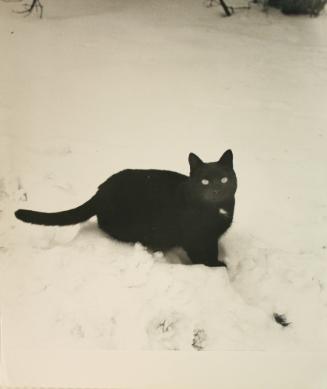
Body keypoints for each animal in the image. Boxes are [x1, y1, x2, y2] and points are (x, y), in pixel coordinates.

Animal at [14, 149, 238, 266]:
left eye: (224, 179)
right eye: (205, 182)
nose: (216, 190)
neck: (216, 210)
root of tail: (100, 190)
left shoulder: (211, 237)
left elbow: (212, 251)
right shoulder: (194, 238)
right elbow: (201, 257)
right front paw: (216, 267)